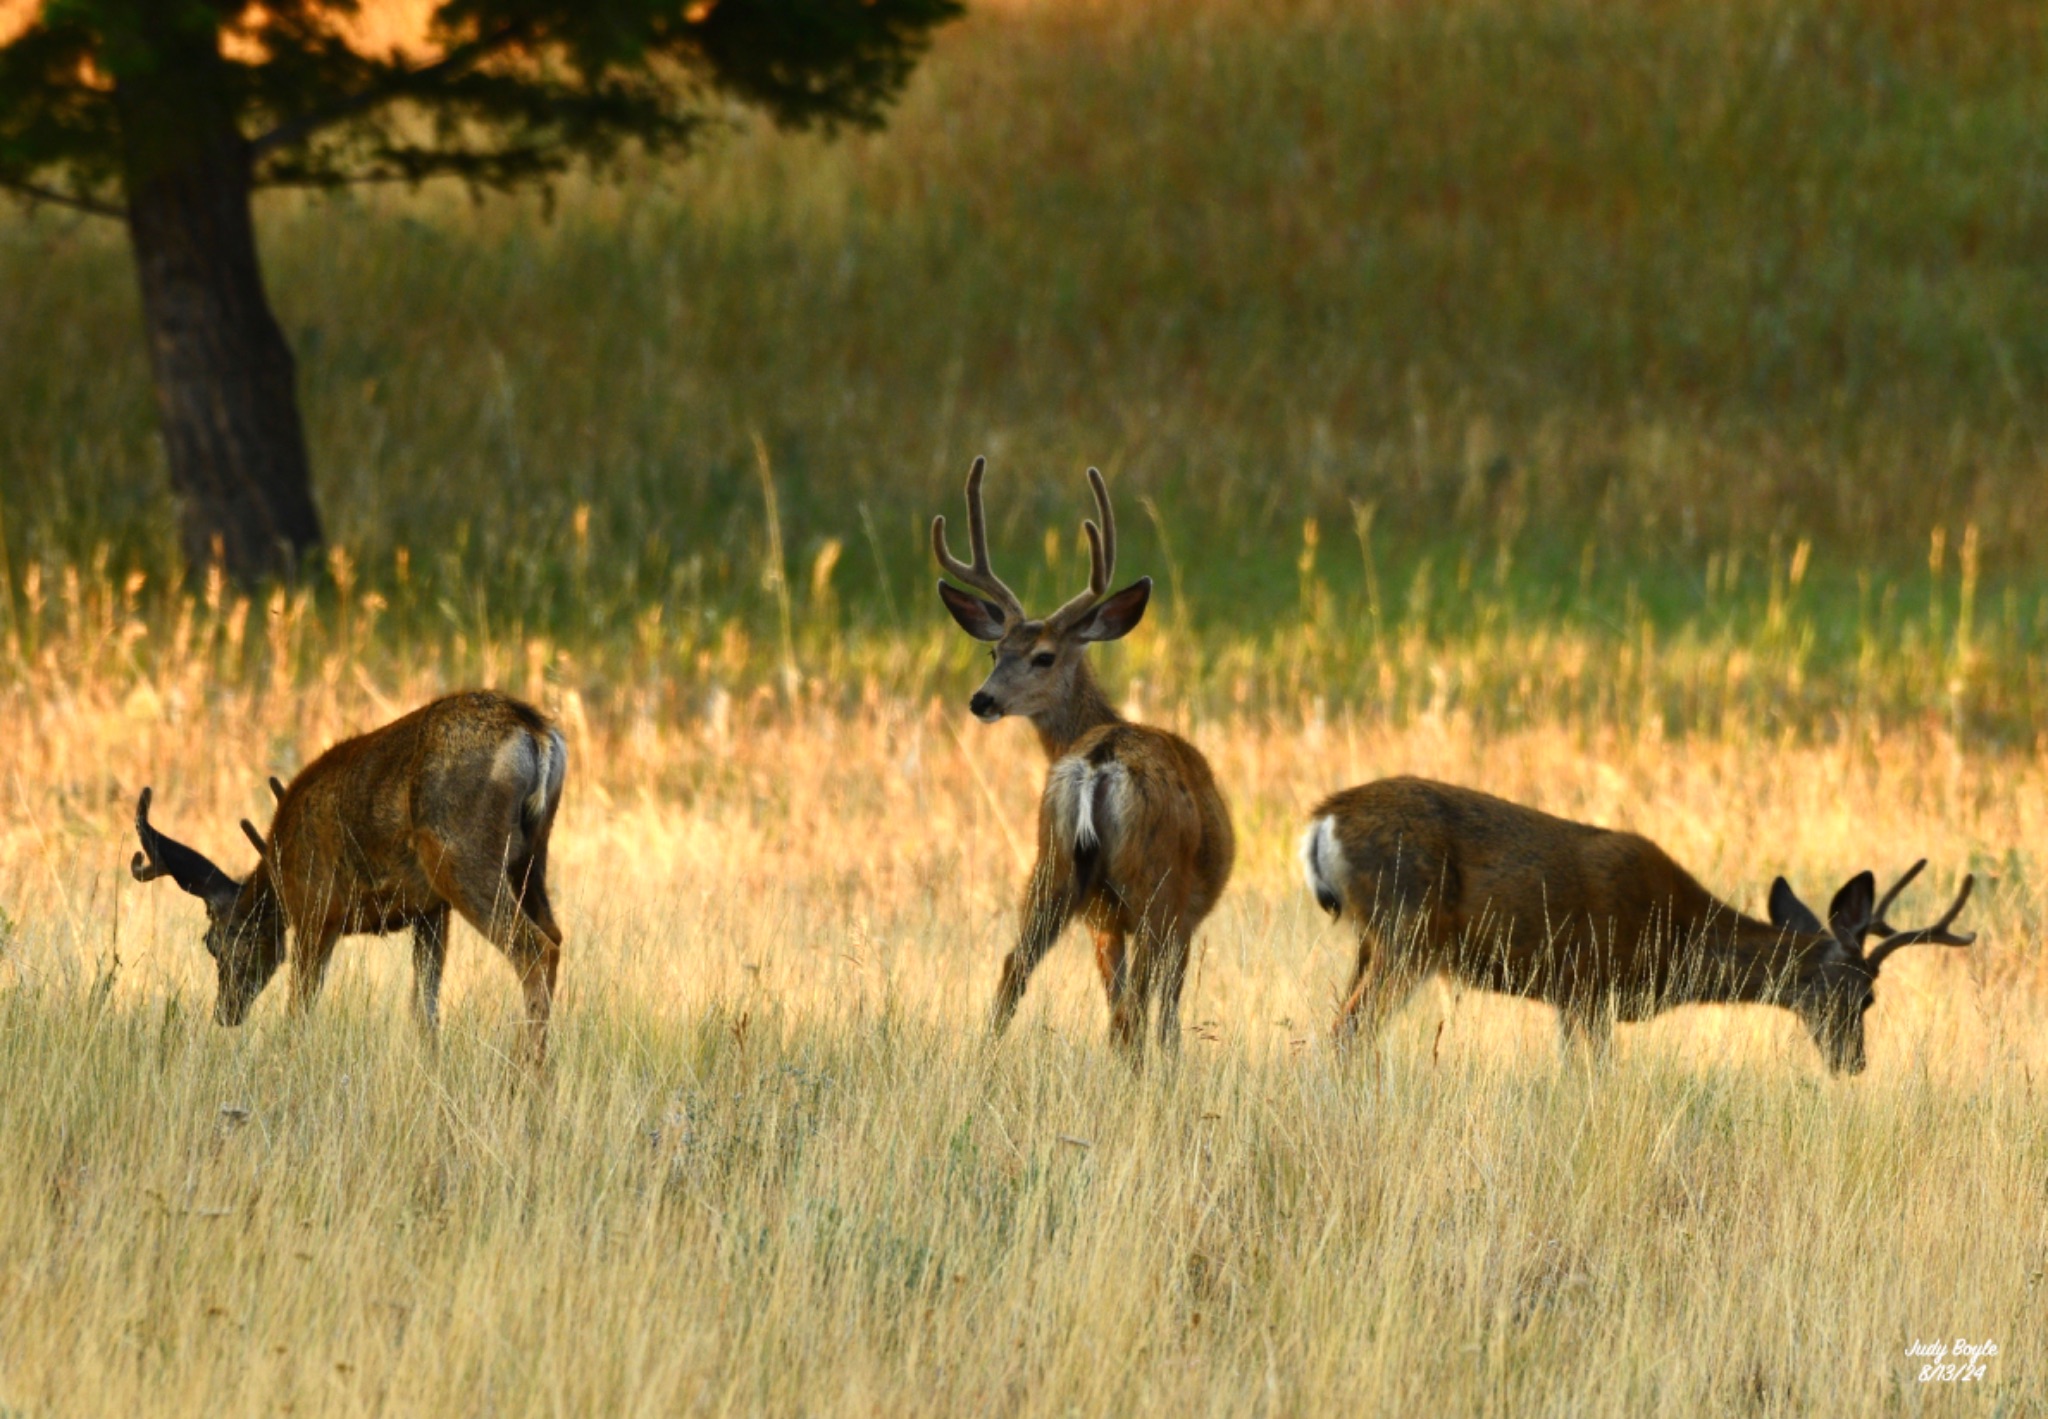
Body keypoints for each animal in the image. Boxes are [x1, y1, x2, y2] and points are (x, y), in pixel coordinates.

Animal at [133, 688, 569, 1064]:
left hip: (462, 852)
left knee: (535, 947)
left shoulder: (315, 907)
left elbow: (299, 1008)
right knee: (555, 935)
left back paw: (525, 1073)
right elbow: (425, 1007)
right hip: (532, 858)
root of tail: (534, 730)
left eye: (211, 943)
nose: (225, 1013)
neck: (279, 868)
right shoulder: (430, 911)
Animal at [937, 458, 1236, 1056]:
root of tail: (1098, 761)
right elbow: (1166, 1016)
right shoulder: (1186, 915)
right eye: (995, 651)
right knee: (1136, 1006)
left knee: (1015, 967)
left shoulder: (1103, 919)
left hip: (1051, 861)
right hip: (1153, 883)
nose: (982, 700)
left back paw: (986, 1058)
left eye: (1042, 656)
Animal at [1302, 774, 1974, 1072]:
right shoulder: (1591, 985)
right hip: (1407, 933)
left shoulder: (1570, 998)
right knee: (1347, 1034)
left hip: (1370, 940)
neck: (1673, 937)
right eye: (1864, 998)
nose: (1854, 1064)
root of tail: (1323, 820)